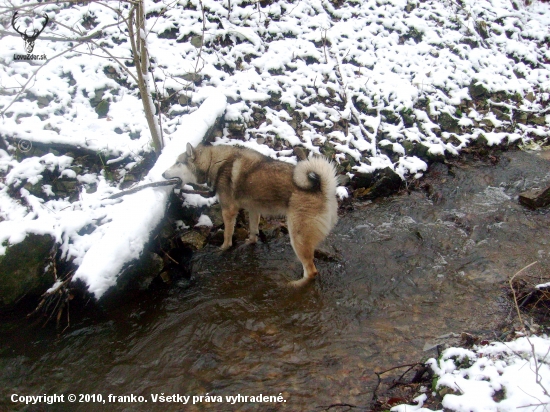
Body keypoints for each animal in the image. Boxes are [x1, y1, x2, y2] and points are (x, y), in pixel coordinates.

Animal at [162, 144, 338, 286]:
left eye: (178, 162)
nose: (163, 174)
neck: (215, 161)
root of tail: (322, 188)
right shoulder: (254, 209)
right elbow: (253, 231)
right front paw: (249, 242)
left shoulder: (228, 210)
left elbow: (227, 235)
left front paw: (223, 248)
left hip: (297, 238)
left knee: (311, 272)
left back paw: (294, 285)